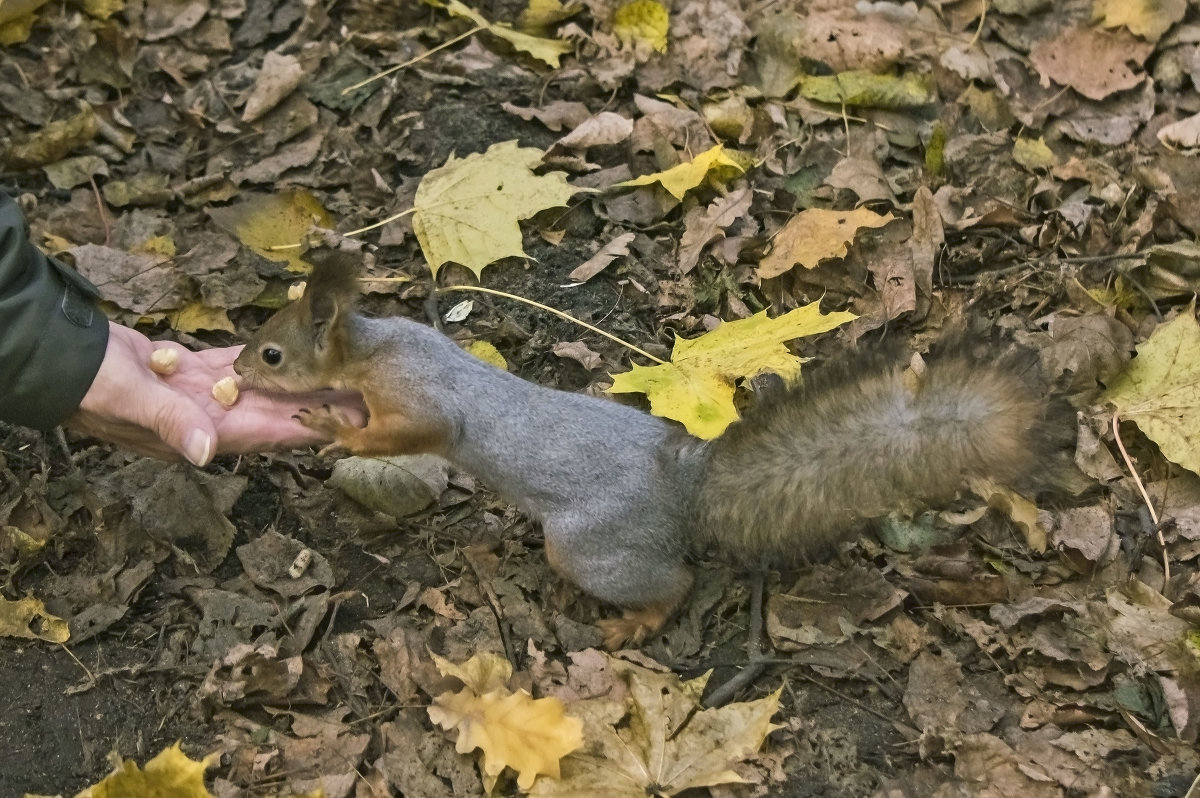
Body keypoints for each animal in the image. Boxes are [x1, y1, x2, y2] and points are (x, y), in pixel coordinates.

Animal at [229, 252, 1075, 652]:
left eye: (271, 353)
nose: (238, 368)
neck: (374, 349)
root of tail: (683, 487)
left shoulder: (421, 397)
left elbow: (419, 434)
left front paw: (332, 424)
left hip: (590, 546)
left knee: (673, 583)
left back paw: (637, 623)